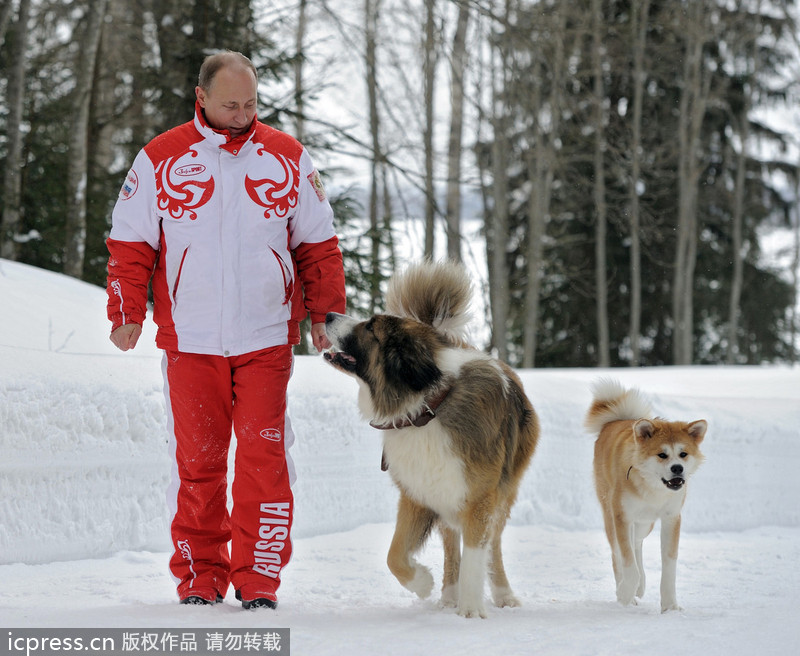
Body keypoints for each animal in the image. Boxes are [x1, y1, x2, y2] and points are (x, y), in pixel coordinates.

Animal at [324, 260, 536, 616]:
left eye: (370, 327)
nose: (326, 315)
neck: (428, 407)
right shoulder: (417, 493)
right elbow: (394, 553)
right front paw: (422, 583)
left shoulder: (480, 497)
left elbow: (477, 555)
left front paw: (471, 609)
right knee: (451, 542)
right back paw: (449, 593)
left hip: (503, 490)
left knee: (493, 545)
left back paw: (502, 594)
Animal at [580, 376, 708, 612]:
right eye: (662, 455)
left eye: (683, 454)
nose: (678, 468)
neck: (653, 488)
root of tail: (614, 421)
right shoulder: (622, 516)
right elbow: (628, 563)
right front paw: (624, 593)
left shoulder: (671, 518)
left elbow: (669, 566)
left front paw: (670, 606)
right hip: (611, 514)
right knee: (618, 553)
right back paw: (628, 590)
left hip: (645, 524)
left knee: (637, 543)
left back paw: (639, 587)